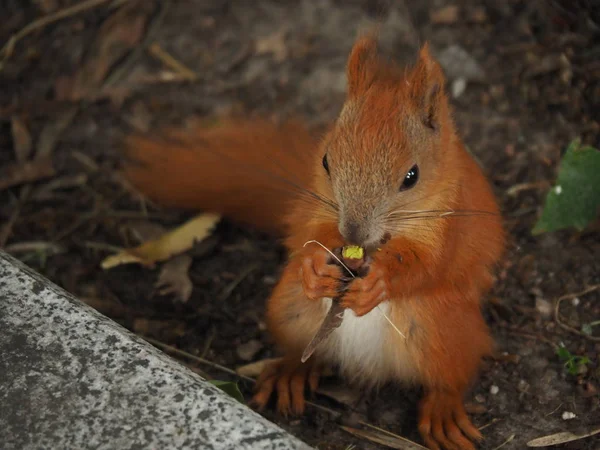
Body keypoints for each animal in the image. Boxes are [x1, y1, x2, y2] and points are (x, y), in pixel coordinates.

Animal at [123, 36, 506, 450]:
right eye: (325, 161)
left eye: (412, 176)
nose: (352, 233)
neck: (375, 244)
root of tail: (366, 367)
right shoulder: (315, 204)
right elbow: (309, 232)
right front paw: (314, 267)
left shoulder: (451, 225)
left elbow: (428, 265)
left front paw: (379, 282)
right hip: (289, 308)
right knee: (302, 350)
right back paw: (290, 372)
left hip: (442, 329)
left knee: (450, 379)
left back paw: (442, 410)